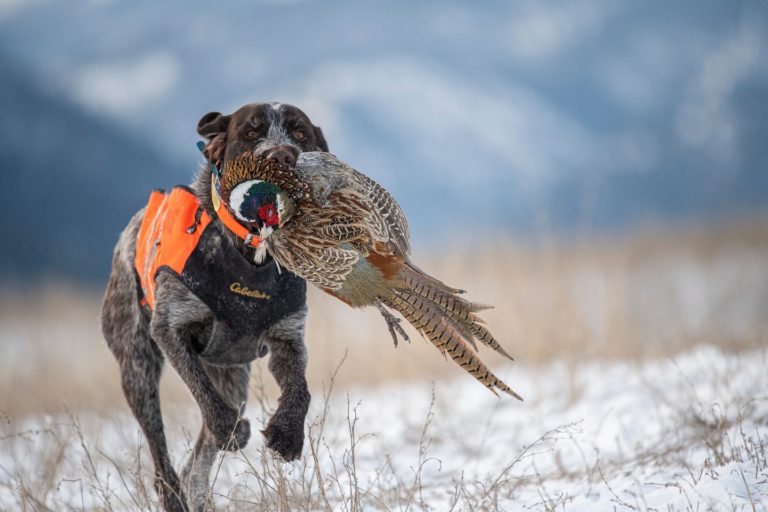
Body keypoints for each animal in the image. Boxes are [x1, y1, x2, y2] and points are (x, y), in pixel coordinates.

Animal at [101, 102, 328, 510]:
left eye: (300, 133)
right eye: (251, 133)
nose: (281, 155)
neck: (250, 254)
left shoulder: (288, 338)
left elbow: (299, 391)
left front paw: (287, 435)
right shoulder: (170, 328)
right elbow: (205, 397)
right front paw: (232, 431)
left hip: (232, 378)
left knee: (196, 464)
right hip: (137, 367)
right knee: (162, 457)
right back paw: (175, 496)